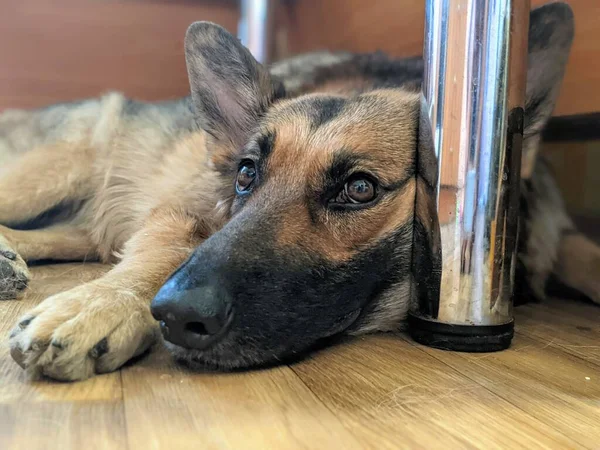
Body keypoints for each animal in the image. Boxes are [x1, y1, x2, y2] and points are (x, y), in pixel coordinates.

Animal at [1, 2, 600, 380]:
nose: (173, 314)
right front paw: (98, 305)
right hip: (53, 171)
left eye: (359, 188)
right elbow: (169, 249)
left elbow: (581, 249)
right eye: (246, 175)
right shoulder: (178, 214)